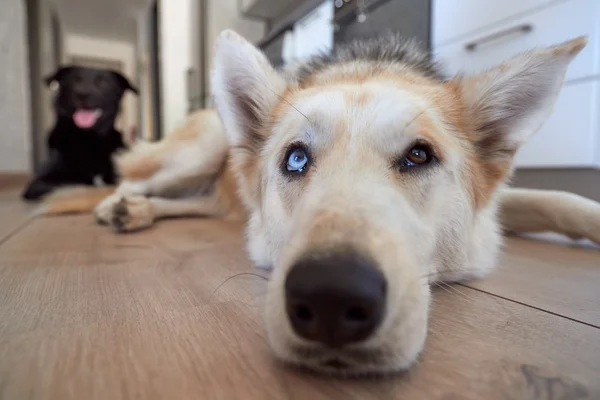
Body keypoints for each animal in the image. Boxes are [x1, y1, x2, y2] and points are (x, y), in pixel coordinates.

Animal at [22, 67, 138, 202]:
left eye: (103, 82)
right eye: (75, 81)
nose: (82, 95)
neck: (90, 139)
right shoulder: (38, 183)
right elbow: (76, 185)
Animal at [43, 32, 600, 376]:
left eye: (419, 155)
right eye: (295, 159)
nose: (331, 298)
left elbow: (562, 198)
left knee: (196, 204)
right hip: (198, 152)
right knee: (132, 179)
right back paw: (118, 205)